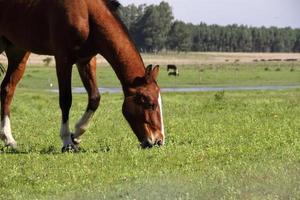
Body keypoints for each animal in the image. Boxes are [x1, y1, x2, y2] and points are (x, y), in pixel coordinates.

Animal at [0, 0, 164, 152]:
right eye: (150, 103)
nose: (158, 141)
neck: (86, 13)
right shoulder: (63, 60)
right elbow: (66, 100)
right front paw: (67, 141)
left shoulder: (86, 60)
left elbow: (95, 97)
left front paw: (76, 135)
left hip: (18, 52)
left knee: (7, 89)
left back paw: (8, 139)